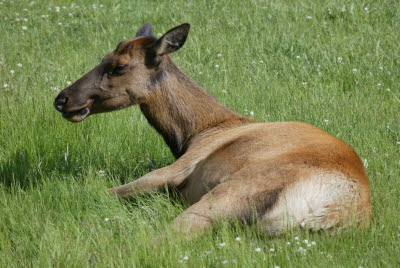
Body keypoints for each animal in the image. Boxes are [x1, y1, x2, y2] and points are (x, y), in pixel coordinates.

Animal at [54, 22, 370, 237]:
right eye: (103, 58)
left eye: (119, 66)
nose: (62, 99)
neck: (194, 132)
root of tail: (338, 211)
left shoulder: (182, 165)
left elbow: (102, 191)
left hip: (238, 187)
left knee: (173, 233)